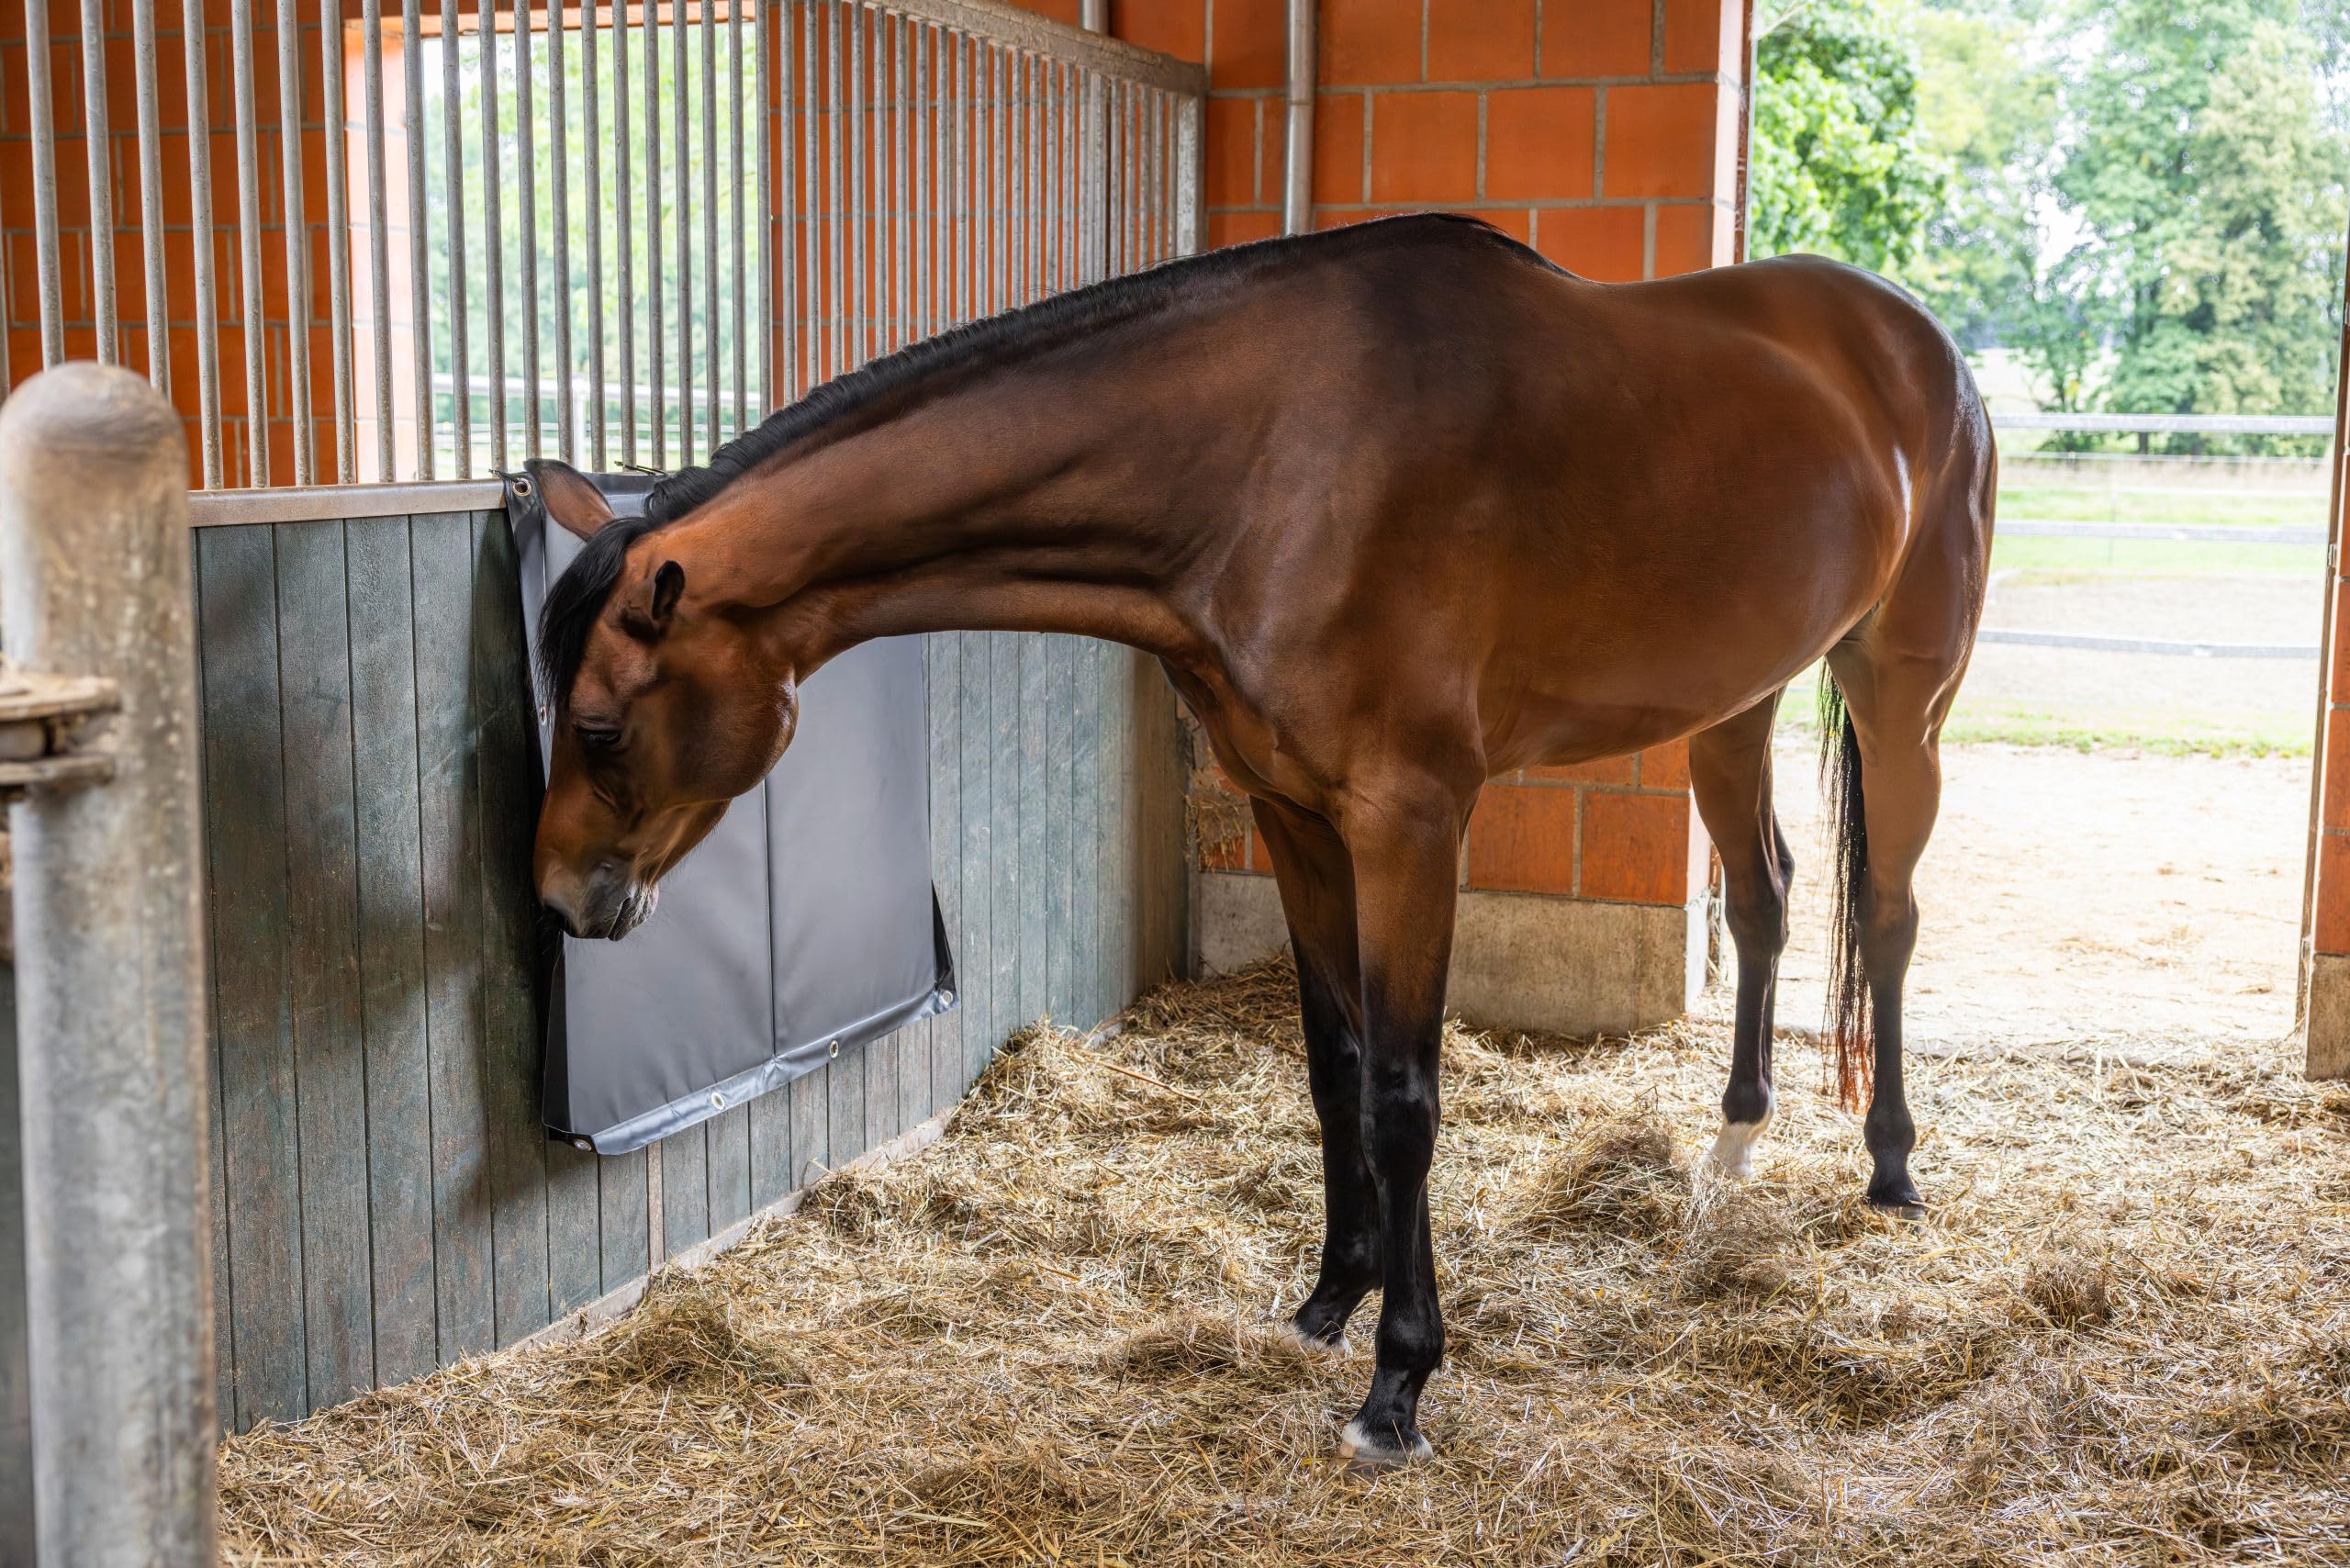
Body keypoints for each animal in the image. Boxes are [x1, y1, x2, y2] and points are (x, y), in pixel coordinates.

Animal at [527, 212, 1995, 1467]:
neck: (1270, 457)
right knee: (1764, 898)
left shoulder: (1411, 822)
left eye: (597, 724)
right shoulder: (1296, 815)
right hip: (1733, 703)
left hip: (1900, 693)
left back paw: (1891, 1166)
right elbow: (1333, 1066)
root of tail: (1924, 354)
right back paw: (1733, 1148)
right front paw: (1328, 1301)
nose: (556, 897)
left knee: (1893, 917)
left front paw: (1400, 1381)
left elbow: (1404, 1094)